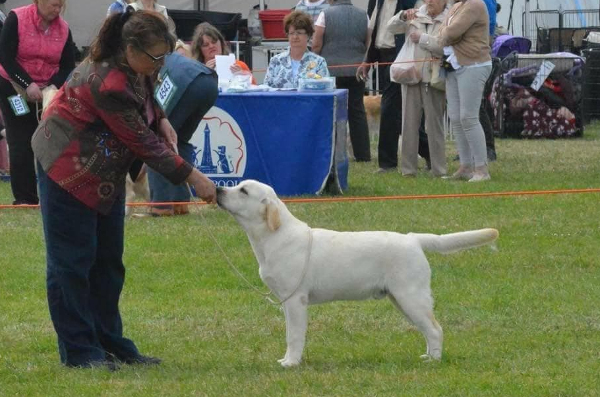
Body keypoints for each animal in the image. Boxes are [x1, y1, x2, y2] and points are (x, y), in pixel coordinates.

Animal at [216, 179, 496, 366]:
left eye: (243, 191)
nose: (218, 189)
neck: (274, 236)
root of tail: (413, 239)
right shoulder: (286, 301)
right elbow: (288, 334)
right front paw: (286, 359)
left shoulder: (296, 300)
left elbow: (294, 335)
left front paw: (291, 363)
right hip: (401, 299)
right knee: (428, 329)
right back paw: (427, 355)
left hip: (411, 296)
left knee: (436, 329)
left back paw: (433, 361)